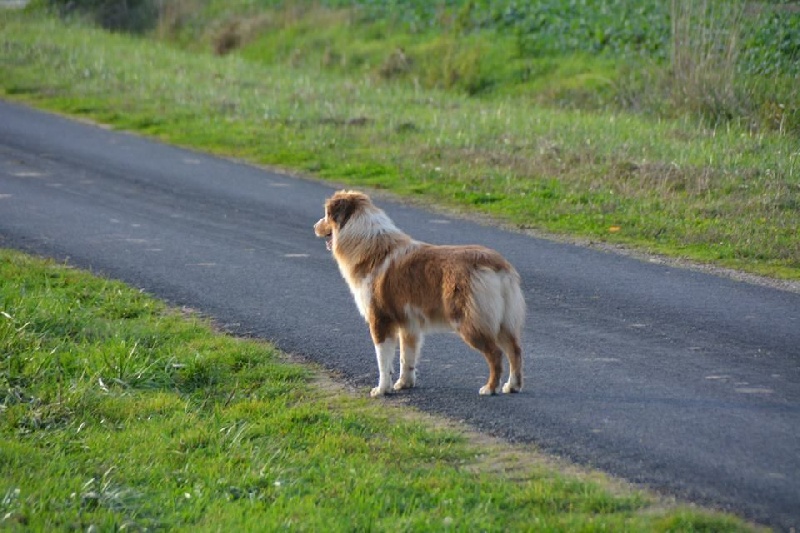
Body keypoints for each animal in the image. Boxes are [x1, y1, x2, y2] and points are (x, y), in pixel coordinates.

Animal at [316, 190, 528, 394]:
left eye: (326, 214)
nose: (314, 227)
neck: (367, 243)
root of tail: (498, 265)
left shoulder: (380, 320)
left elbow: (383, 361)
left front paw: (381, 389)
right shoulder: (409, 325)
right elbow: (406, 358)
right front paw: (404, 384)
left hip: (470, 321)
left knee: (496, 353)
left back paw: (490, 388)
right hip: (504, 322)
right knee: (515, 351)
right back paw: (512, 386)